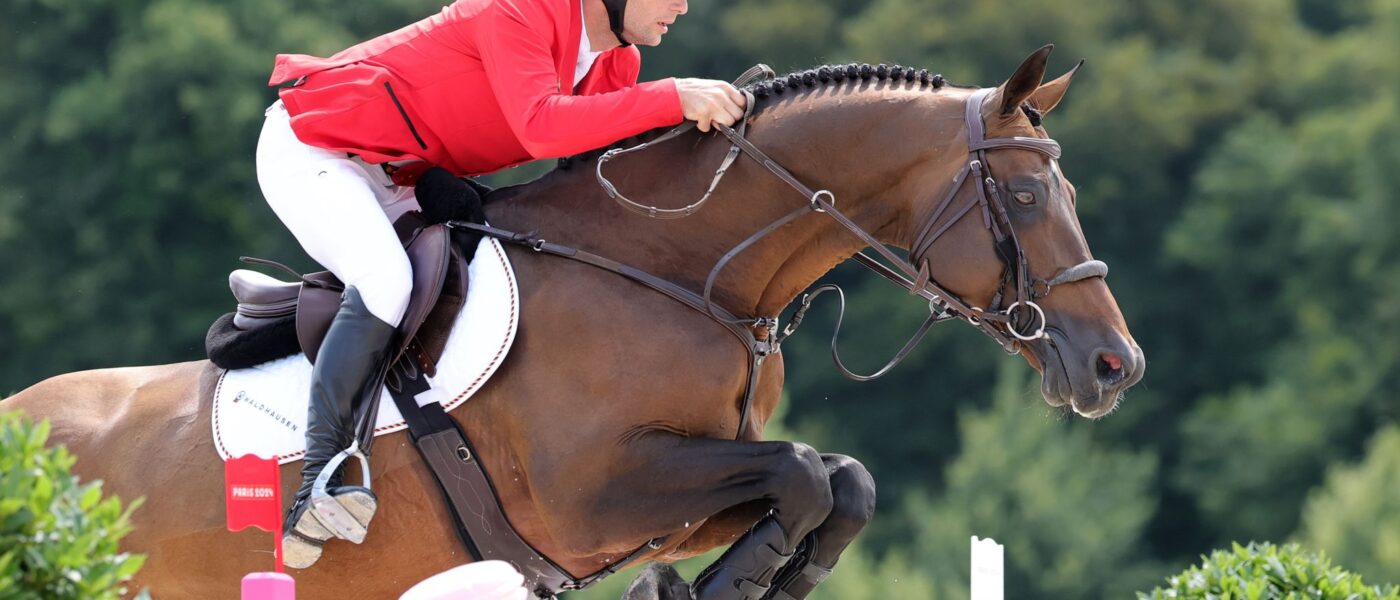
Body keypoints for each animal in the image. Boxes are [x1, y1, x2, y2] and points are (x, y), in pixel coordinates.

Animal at [0, 44, 1142, 595]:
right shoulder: (591, 496)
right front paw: (697, 594)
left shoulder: (669, 490)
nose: (1114, 366)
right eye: (1027, 197)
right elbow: (803, 475)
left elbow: (835, 483)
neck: (676, 271)